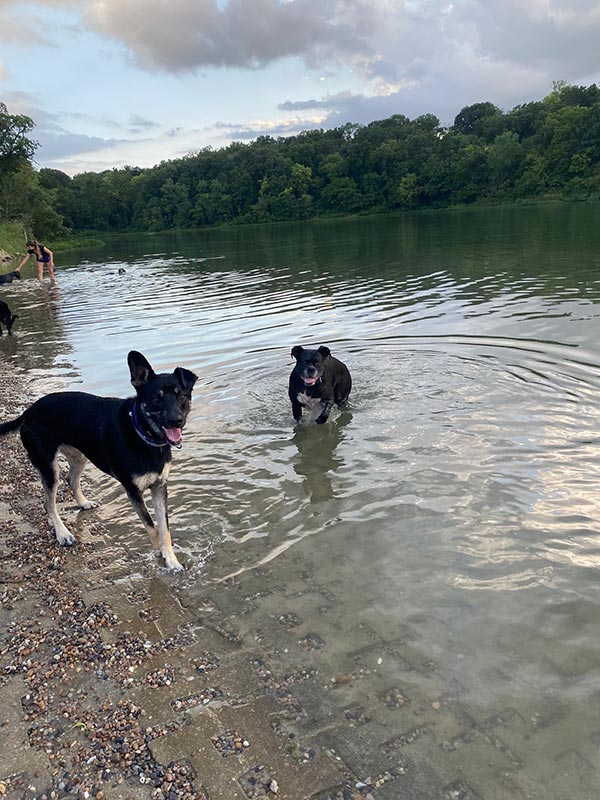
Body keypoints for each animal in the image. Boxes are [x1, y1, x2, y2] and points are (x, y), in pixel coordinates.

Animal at [0, 350, 198, 568]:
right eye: (157, 399)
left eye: (181, 396)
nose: (177, 421)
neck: (142, 433)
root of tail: (29, 411)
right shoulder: (133, 491)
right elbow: (152, 527)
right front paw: (159, 555)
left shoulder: (159, 487)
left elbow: (164, 529)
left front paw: (171, 559)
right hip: (49, 468)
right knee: (49, 503)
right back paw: (62, 534)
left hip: (79, 457)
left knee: (71, 479)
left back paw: (83, 503)